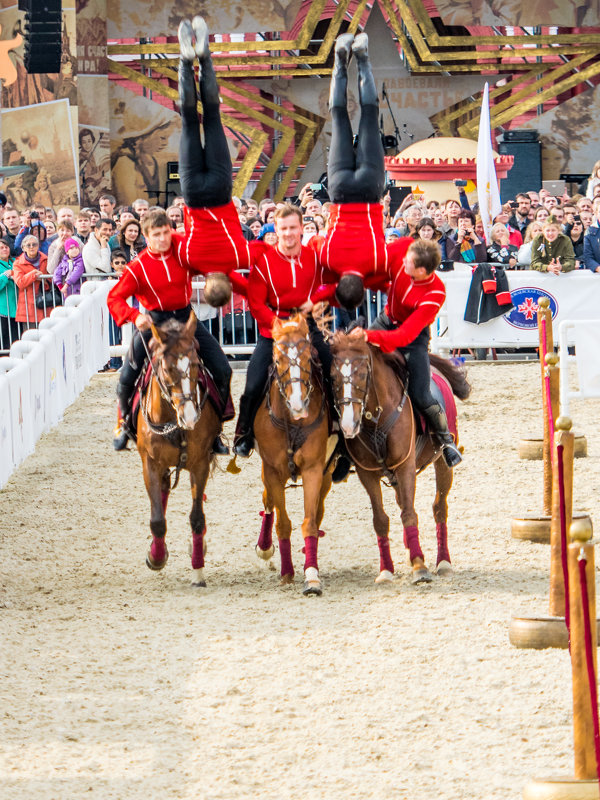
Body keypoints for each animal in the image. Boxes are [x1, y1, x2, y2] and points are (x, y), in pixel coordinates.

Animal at [136, 312, 220, 588]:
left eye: (195, 364)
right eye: (167, 368)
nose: (191, 417)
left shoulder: (200, 463)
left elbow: (196, 518)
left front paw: (198, 571)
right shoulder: (150, 464)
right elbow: (157, 520)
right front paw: (156, 558)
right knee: (162, 495)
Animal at [253, 316, 336, 596]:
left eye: (308, 358)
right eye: (278, 359)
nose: (299, 404)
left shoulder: (313, 470)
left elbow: (309, 522)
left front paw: (311, 576)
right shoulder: (272, 470)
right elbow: (283, 524)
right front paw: (287, 573)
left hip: (326, 475)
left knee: (318, 513)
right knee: (267, 501)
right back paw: (264, 547)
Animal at [328, 332, 468, 588]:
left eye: (362, 374)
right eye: (333, 376)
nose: (348, 424)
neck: (376, 418)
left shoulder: (405, 468)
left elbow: (410, 514)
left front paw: (420, 568)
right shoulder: (367, 473)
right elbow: (381, 520)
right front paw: (387, 570)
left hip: (442, 464)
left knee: (439, 507)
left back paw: (443, 562)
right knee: (404, 504)